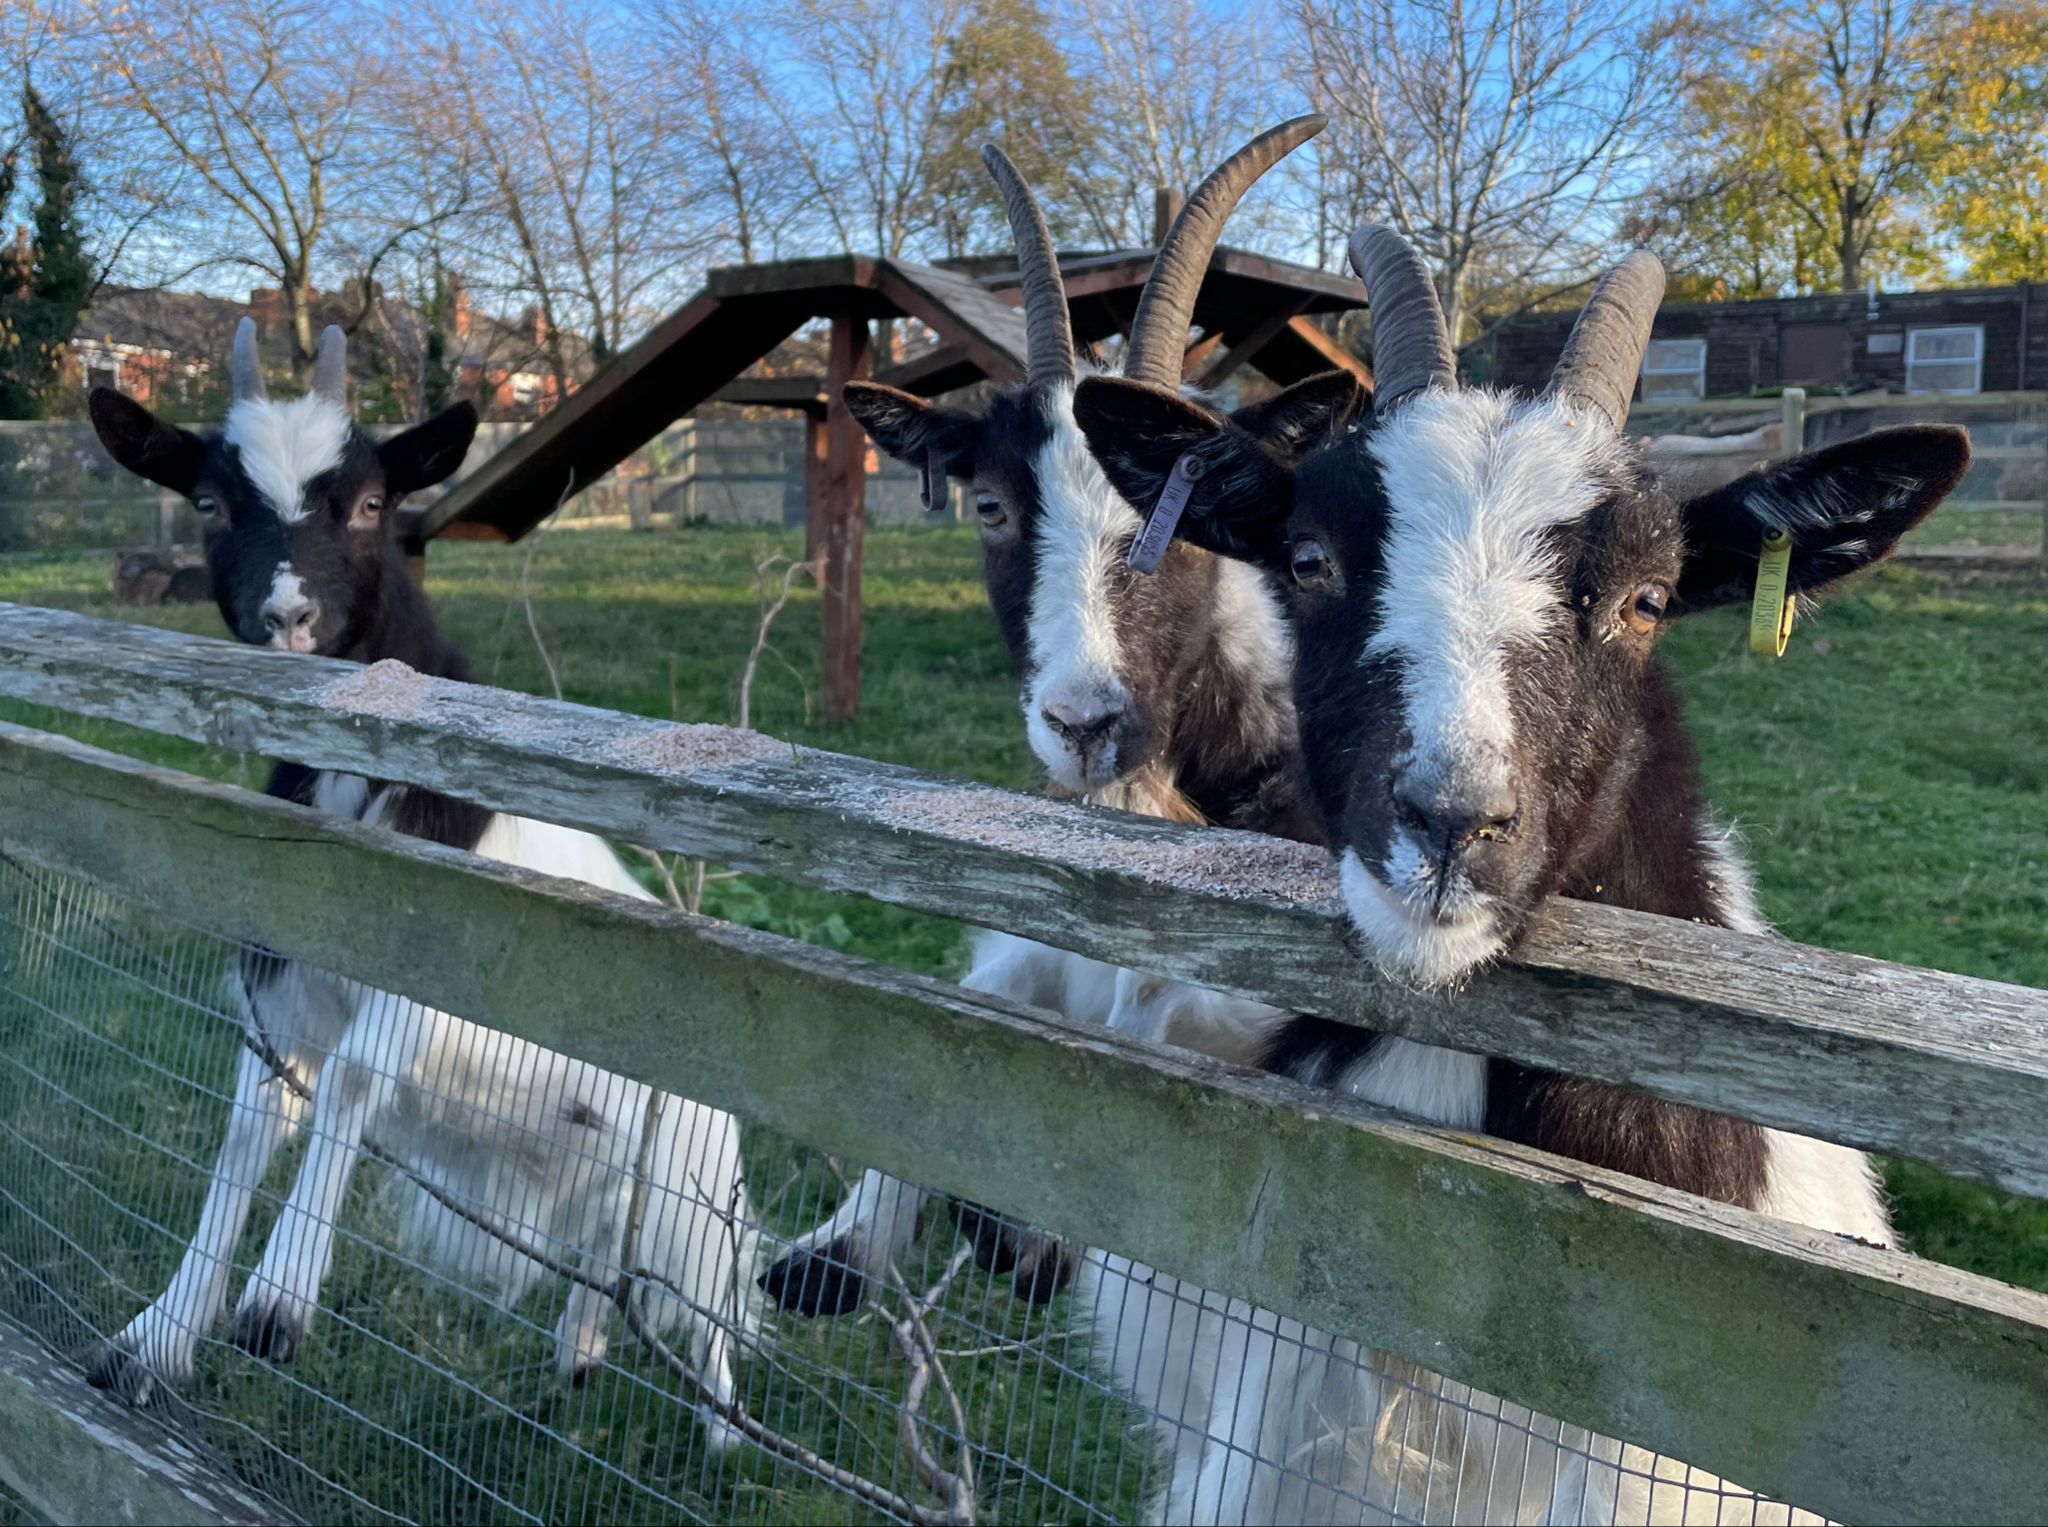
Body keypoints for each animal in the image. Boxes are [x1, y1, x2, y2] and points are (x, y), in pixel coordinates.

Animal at [84, 326, 754, 1451]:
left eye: (368, 503)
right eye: (210, 502)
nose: (289, 615)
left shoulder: (435, 957)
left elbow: (354, 1078)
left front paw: (276, 1304)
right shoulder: (279, 971)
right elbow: (252, 1119)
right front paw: (154, 1338)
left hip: (692, 1164)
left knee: (704, 1280)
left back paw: (723, 1425)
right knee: (612, 1249)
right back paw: (580, 1353)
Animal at [761, 118, 1363, 1319]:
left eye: (1189, 517)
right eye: (990, 505)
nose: (1084, 723)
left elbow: (1161, 1029)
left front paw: (1024, 1233)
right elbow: (977, 1000)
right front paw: (832, 1252)